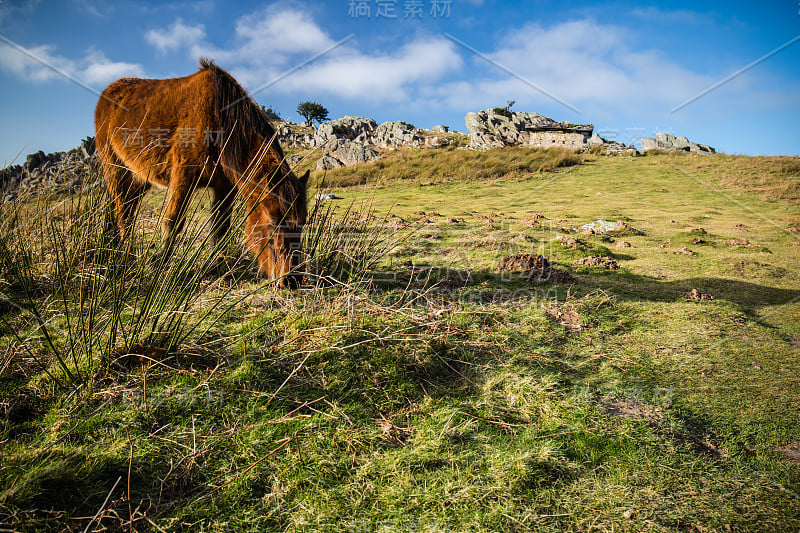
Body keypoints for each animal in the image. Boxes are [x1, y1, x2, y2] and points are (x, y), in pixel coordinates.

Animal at [93, 57, 306, 286]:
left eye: (303, 223)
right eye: (274, 222)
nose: (292, 280)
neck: (220, 119)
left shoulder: (224, 187)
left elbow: (221, 227)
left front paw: (220, 268)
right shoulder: (183, 177)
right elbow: (172, 222)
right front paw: (158, 267)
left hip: (139, 178)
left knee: (127, 210)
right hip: (114, 169)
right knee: (121, 212)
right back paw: (125, 255)